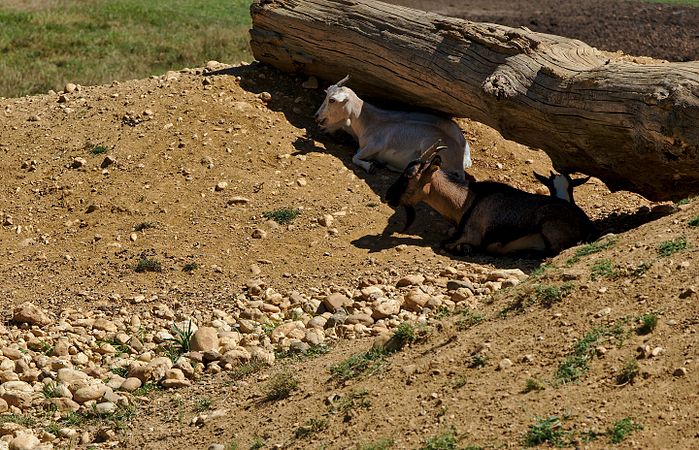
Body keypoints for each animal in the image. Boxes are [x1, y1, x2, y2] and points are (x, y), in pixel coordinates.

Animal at [314, 74, 474, 178]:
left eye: (332, 100)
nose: (317, 117)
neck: (372, 121)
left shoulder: (374, 146)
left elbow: (354, 157)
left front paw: (371, 166)